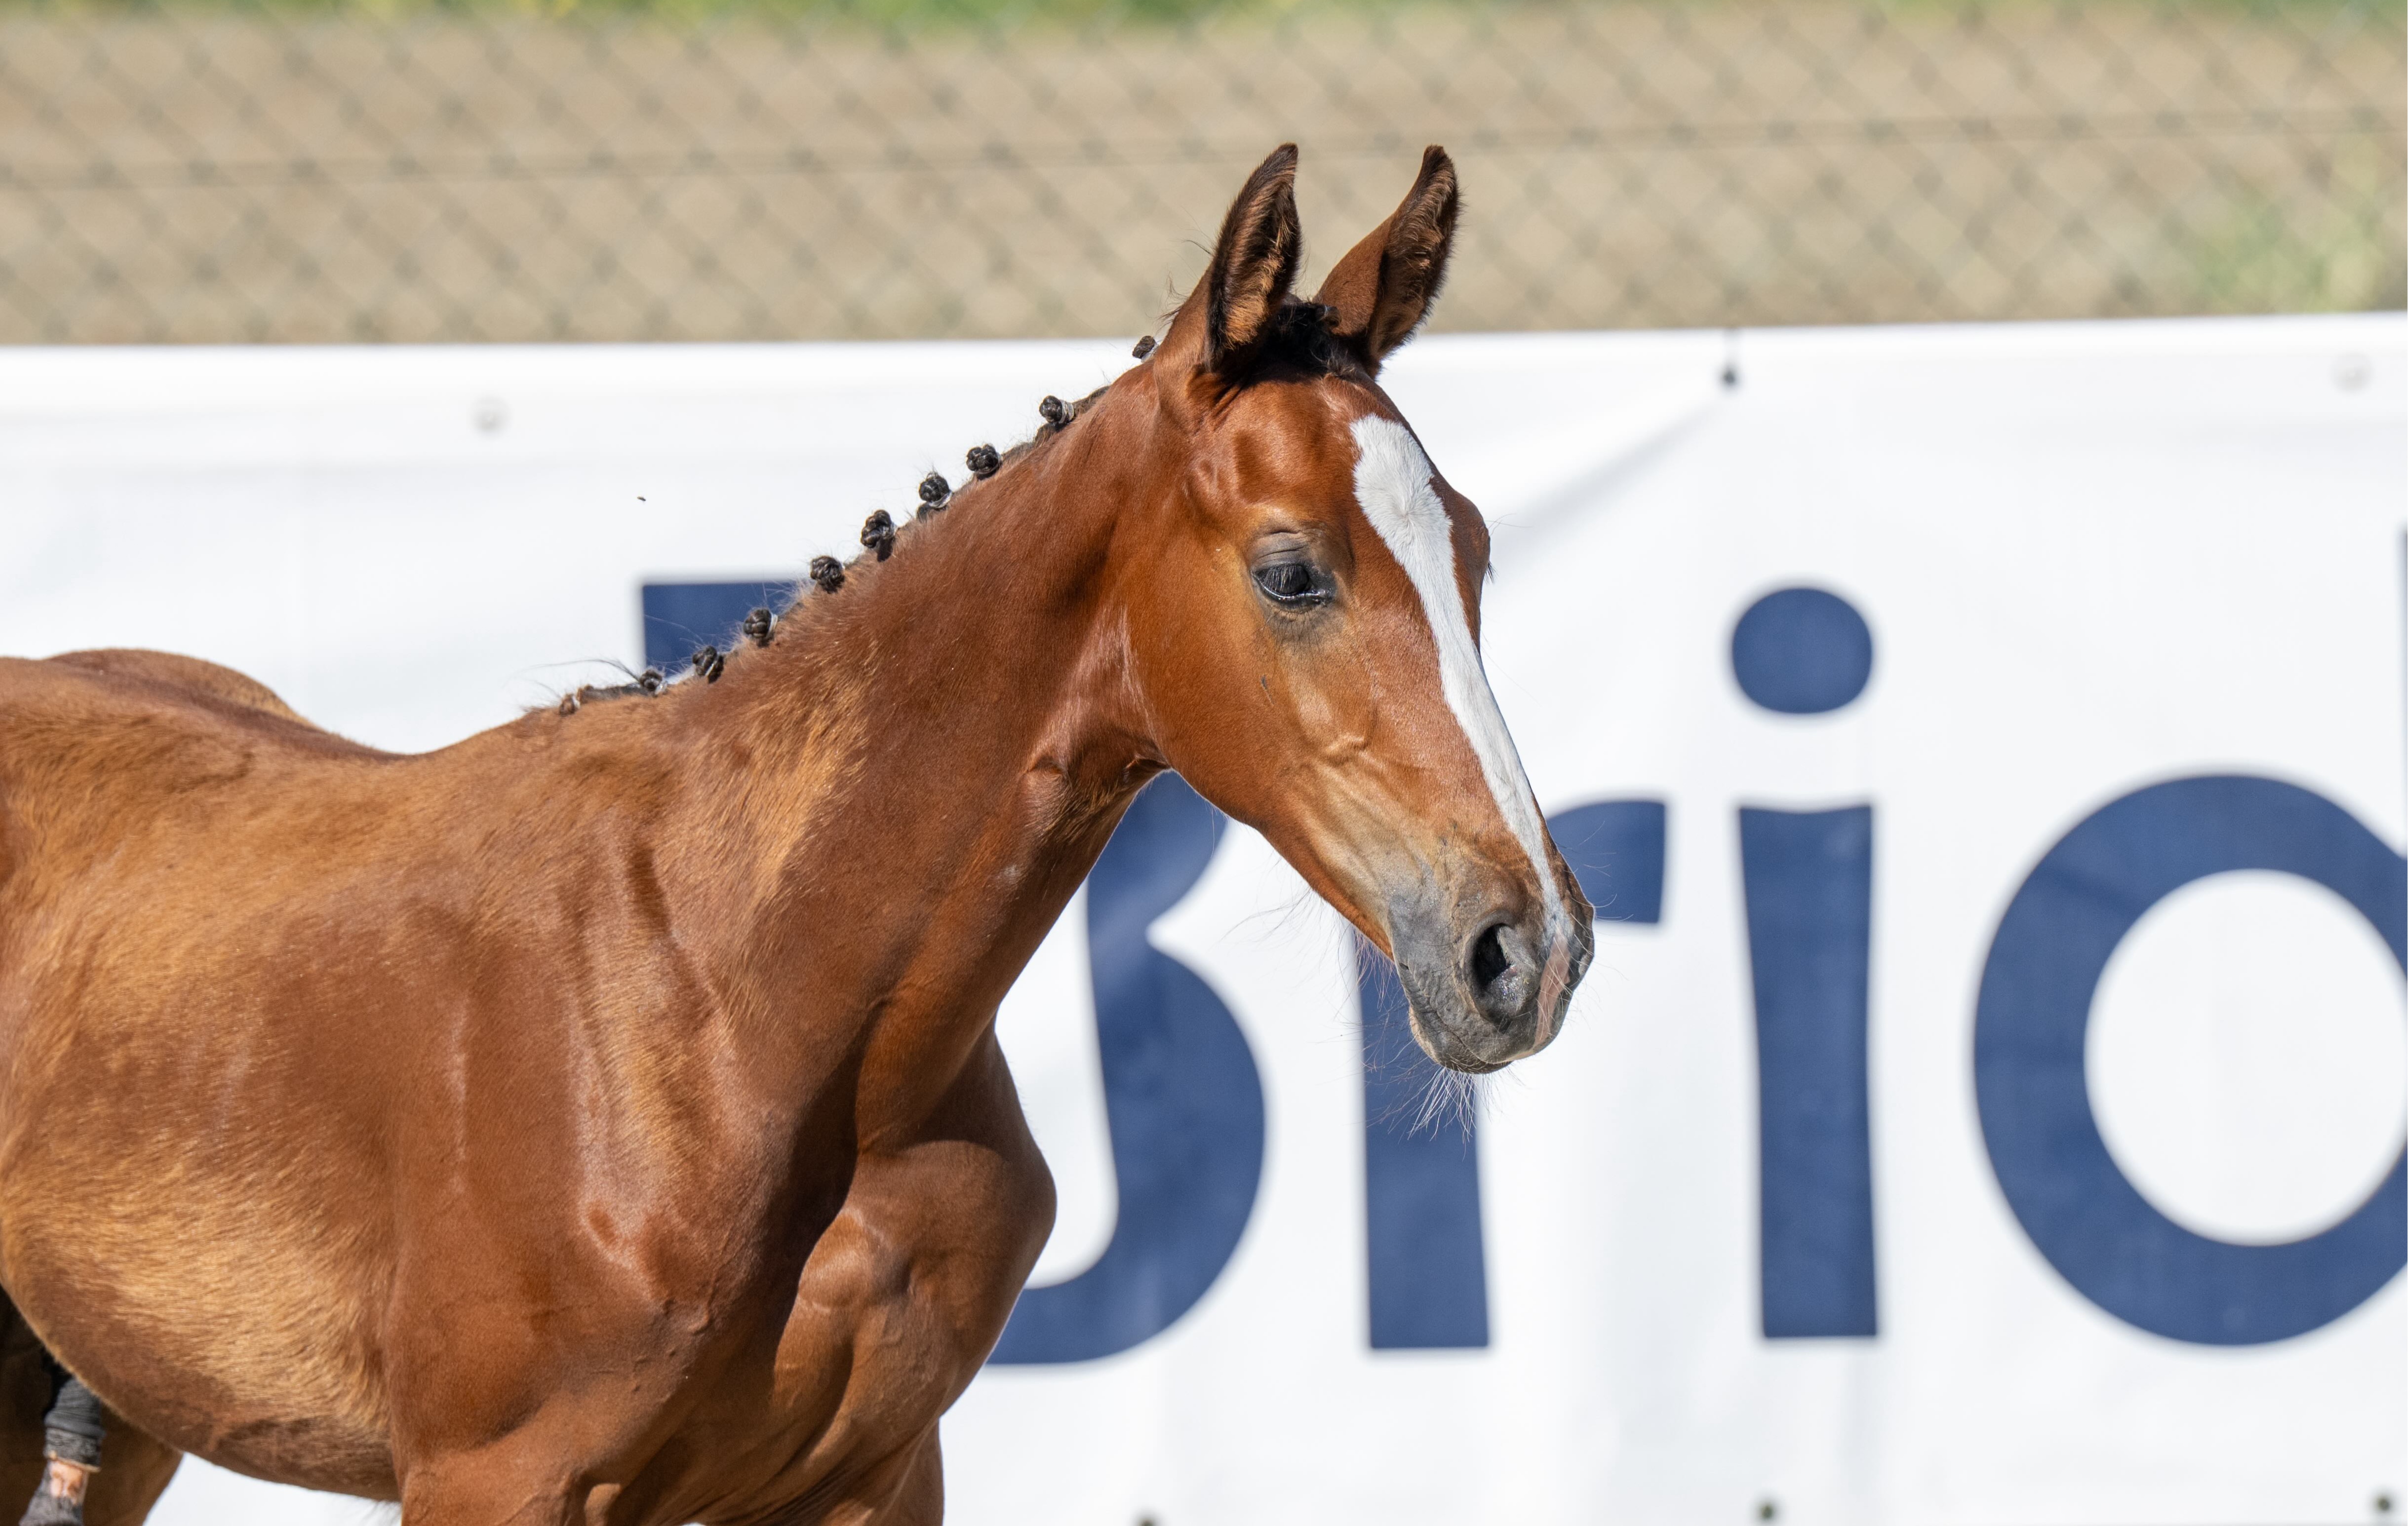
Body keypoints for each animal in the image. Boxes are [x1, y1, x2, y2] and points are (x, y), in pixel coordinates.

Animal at [0, 143, 1593, 1526]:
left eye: (1472, 548)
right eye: (1290, 571)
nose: (1524, 949)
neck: (746, 1001)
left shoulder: (873, 1472)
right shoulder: (489, 1479)